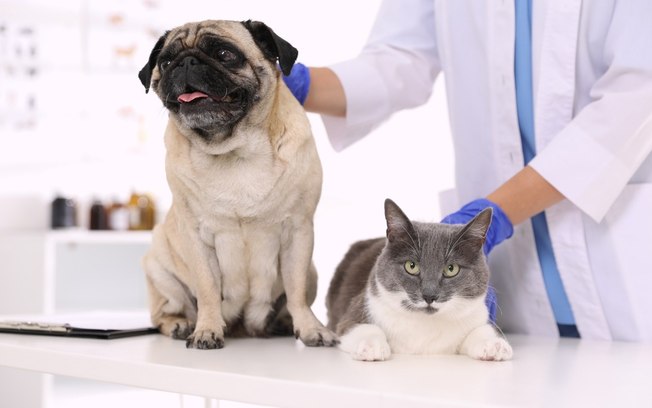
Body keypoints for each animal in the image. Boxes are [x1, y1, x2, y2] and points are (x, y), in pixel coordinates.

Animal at [139, 19, 338, 350]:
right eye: (165, 62)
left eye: (224, 54)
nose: (185, 62)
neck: (235, 150)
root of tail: (244, 326)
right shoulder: (196, 237)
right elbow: (207, 289)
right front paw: (206, 330)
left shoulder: (298, 231)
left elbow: (296, 291)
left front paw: (312, 329)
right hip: (158, 267)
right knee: (163, 313)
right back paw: (181, 324)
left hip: (312, 271)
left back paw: (284, 323)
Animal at [328, 199, 512, 362]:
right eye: (412, 266)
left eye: (451, 269)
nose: (429, 295)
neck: (425, 325)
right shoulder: (360, 308)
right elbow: (357, 326)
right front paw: (371, 345)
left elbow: (480, 330)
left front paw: (494, 345)